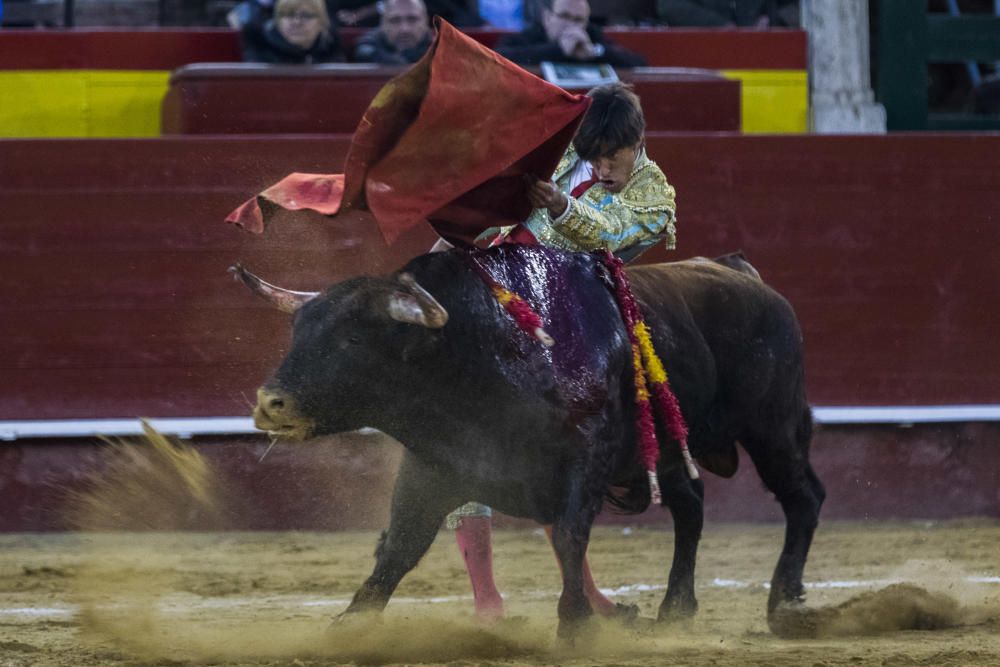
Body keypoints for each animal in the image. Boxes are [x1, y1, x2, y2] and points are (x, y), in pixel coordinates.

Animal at [236, 244, 828, 636]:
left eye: (354, 340)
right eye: (298, 332)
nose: (269, 402)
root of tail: (744, 274)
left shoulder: (585, 462)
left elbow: (568, 537)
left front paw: (575, 626)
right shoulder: (435, 466)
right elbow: (399, 546)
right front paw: (351, 624)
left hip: (774, 428)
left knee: (803, 497)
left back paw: (784, 602)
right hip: (672, 447)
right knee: (691, 505)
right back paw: (676, 607)